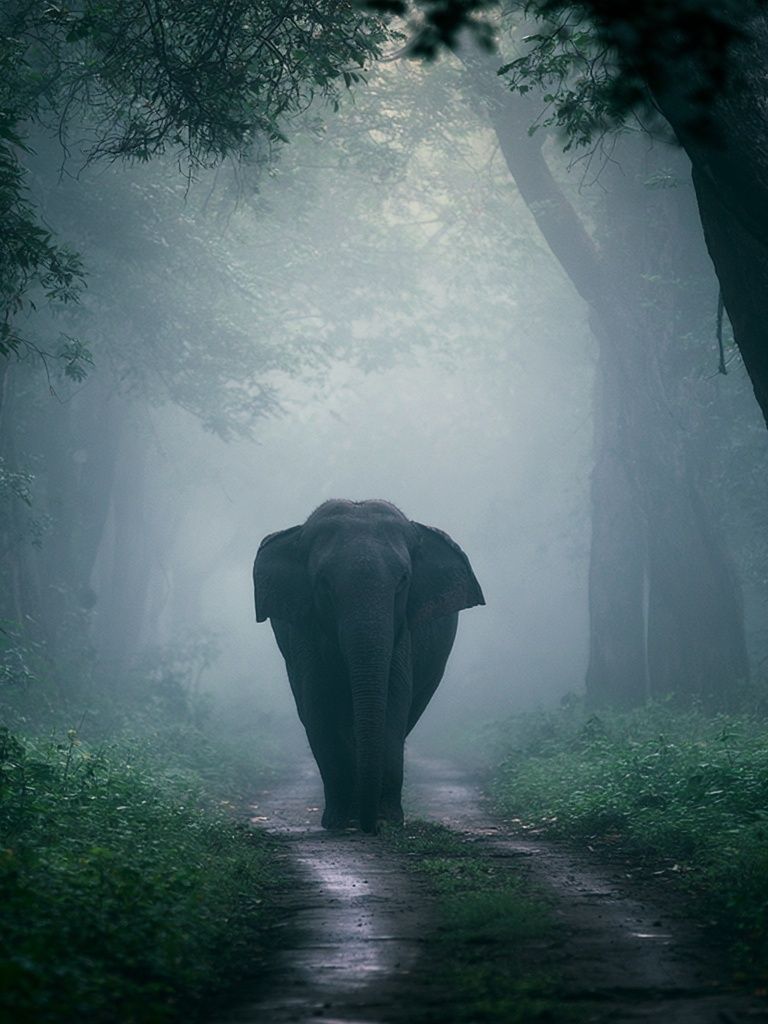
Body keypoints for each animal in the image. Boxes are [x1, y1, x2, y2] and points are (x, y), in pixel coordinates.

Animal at [253, 499, 484, 834]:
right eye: (323, 583)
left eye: (403, 580)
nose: (368, 827)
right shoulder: (304, 633)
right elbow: (318, 706)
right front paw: (336, 821)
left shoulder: (404, 633)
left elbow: (394, 701)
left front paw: (386, 820)